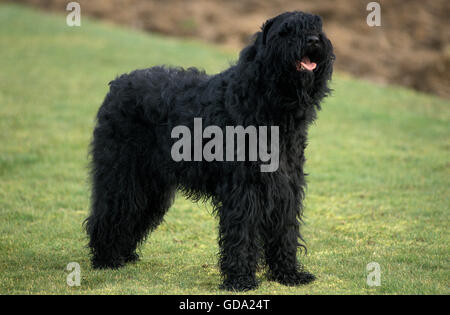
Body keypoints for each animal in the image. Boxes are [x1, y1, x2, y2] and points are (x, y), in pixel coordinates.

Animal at [87, 10, 334, 292]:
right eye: (286, 31)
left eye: (317, 27)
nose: (313, 40)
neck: (264, 100)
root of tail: (117, 86)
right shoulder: (244, 188)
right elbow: (242, 232)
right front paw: (240, 279)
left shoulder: (285, 185)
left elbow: (285, 230)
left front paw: (289, 273)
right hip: (123, 174)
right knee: (111, 210)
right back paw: (106, 258)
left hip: (151, 185)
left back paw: (124, 254)